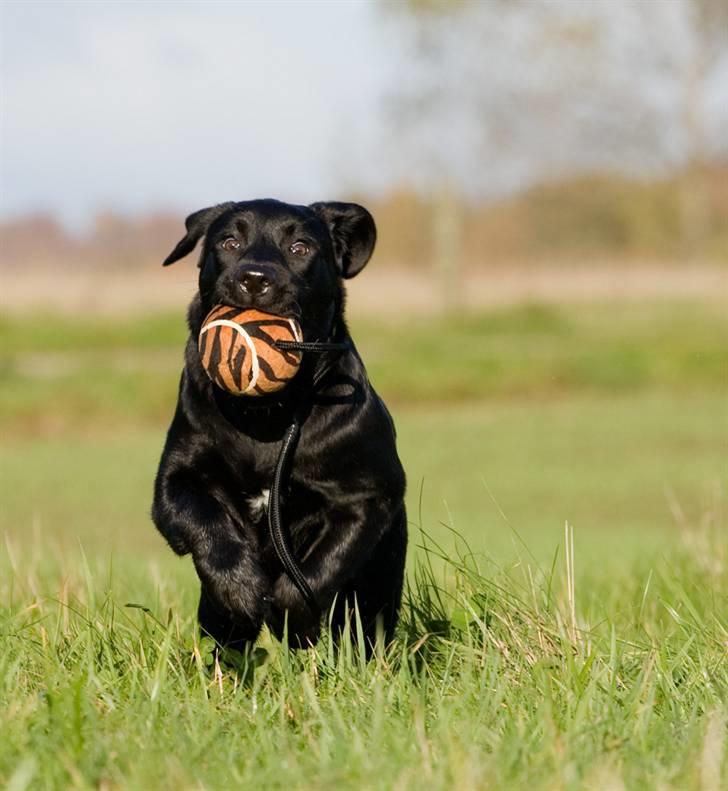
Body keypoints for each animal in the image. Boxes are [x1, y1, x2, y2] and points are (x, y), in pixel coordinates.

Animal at [151, 201, 406, 652]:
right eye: (229, 242)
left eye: (299, 246)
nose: (254, 278)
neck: (268, 413)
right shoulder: (176, 480)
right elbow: (206, 525)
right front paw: (239, 589)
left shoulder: (367, 495)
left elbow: (319, 568)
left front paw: (293, 620)